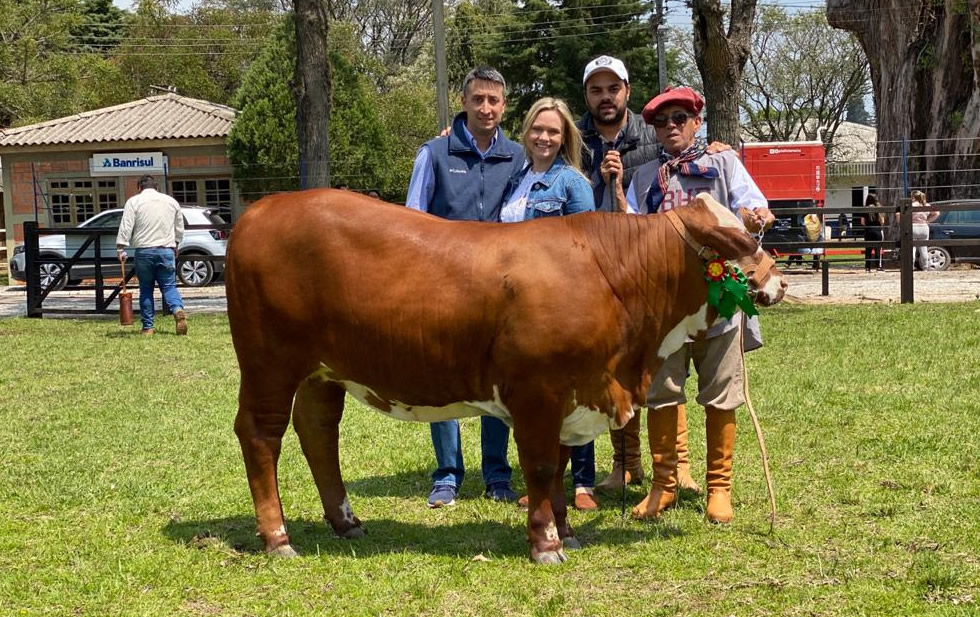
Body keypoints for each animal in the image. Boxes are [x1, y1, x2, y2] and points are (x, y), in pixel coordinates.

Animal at [226, 188, 784, 564]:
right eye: (736, 239)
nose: (776, 281)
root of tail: (262, 208)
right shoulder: (538, 393)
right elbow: (540, 467)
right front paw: (545, 543)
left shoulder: (572, 398)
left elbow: (560, 468)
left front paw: (566, 529)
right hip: (269, 365)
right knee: (260, 436)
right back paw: (277, 538)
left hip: (322, 373)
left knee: (319, 435)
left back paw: (346, 523)